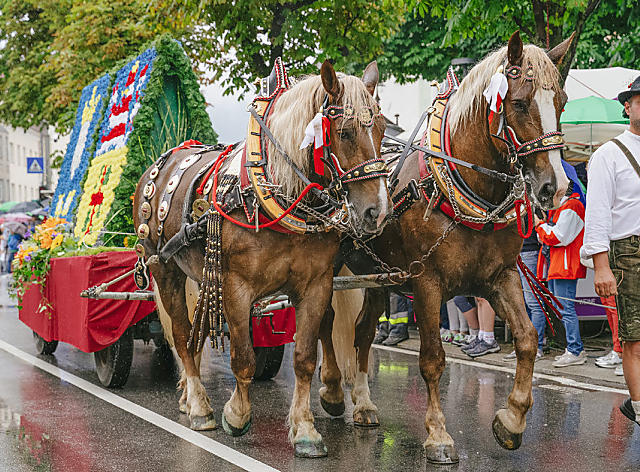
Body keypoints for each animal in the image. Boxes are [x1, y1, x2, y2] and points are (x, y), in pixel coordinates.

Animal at [133, 59, 392, 458]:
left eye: (381, 129)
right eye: (345, 132)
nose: (376, 212)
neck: (276, 194)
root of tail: (162, 161)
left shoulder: (316, 285)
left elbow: (304, 358)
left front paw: (305, 430)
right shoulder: (236, 288)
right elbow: (243, 359)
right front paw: (236, 415)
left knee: (193, 335)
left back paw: (189, 399)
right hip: (164, 268)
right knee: (180, 333)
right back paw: (200, 406)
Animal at [318, 31, 574, 464]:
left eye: (562, 102)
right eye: (520, 103)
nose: (554, 188)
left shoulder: (501, 277)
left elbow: (527, 340)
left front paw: (511, 420)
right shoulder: (427, 284)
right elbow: (433, 360)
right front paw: (438, 434)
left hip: (377, 277)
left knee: (363, 332)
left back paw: (364, 403)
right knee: (324, 322)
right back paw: (334, 390)